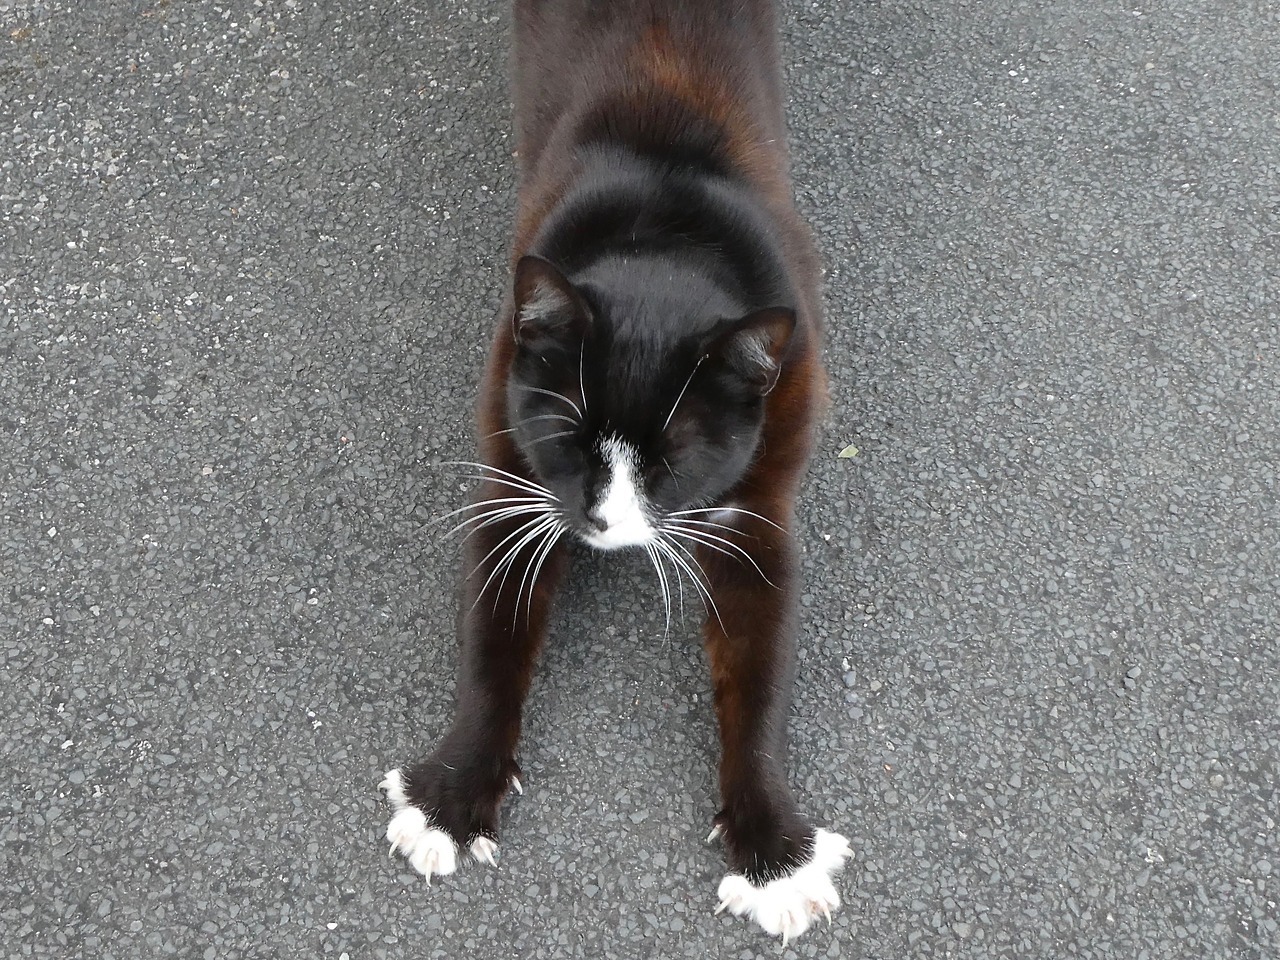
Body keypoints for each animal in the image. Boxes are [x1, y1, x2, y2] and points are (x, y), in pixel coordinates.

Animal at [379, 0, 849, 941]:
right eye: (569, 440)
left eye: (674, 460)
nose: (601, 522)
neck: (667, 234)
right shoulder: (512, 479)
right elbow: (493, 645)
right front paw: (451, 799)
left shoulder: (758, 512)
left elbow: (760, 680)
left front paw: (776, 856)